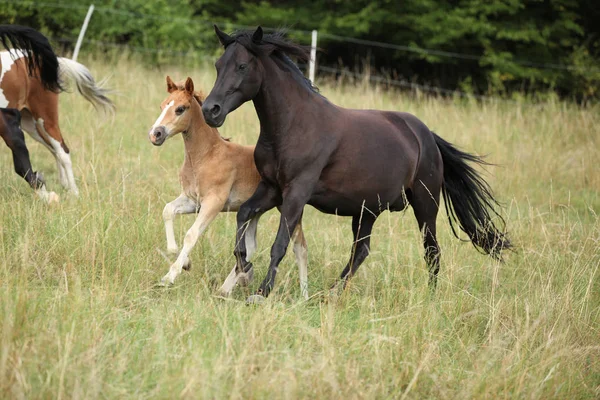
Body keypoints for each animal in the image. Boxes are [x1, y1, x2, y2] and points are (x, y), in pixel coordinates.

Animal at [148, 76, 308, 298]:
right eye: (163, 105)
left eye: (180, 109)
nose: (155, 134)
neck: (206, 156)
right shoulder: (192, 200)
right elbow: (167, 210)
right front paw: (183, 260)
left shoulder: (213, 202)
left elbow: (192, 234)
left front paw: (169, 277)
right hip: (257, 210)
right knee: (251, 245)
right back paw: (230, 285)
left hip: (288, 208)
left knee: (300, 248)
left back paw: (304, 295)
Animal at [203, 26, 510, 302]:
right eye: (218, 65)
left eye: (242, 66)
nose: (210, 110)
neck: (294, 124)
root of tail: (427, 137)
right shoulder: (272, 189)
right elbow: (243, 215)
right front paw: (244, 267)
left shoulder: (296, 192)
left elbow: (279, 243)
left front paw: (262, 291)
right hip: (367, 211)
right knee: (361, 251)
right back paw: (328, 294)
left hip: (425, 204)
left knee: (431, 250)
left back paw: (430, 298)